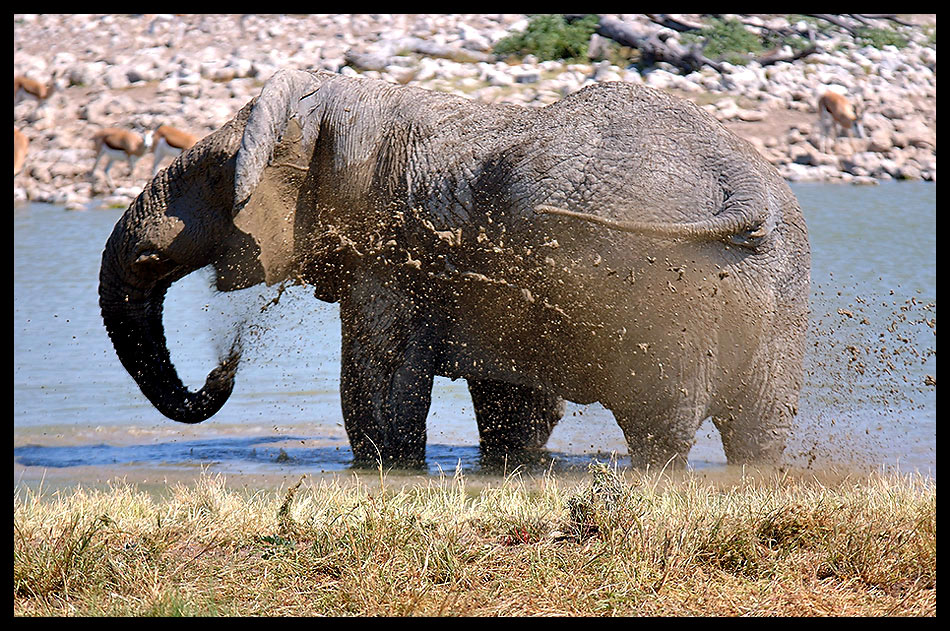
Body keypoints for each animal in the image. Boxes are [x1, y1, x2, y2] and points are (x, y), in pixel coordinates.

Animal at [98, 69, 812, 470]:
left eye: (218, 179)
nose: (225, 365)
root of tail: (742, 181)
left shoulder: (384, 260)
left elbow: (376, 381)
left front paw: (387, 471)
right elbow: (510, 402)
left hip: (657, 287)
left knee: (661, 422)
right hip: (774, 287)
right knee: (759, 427)